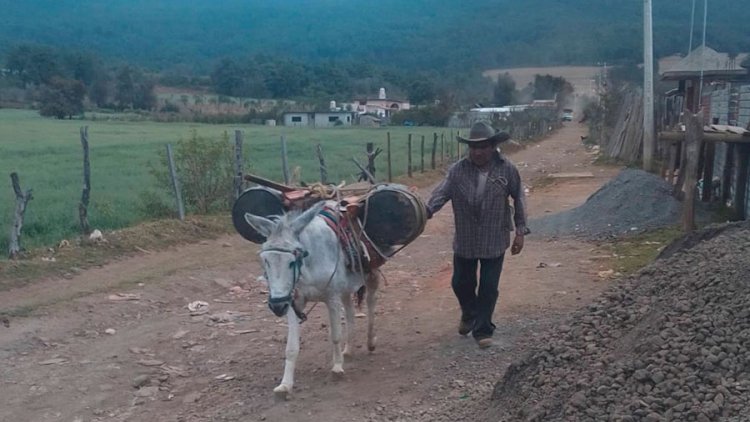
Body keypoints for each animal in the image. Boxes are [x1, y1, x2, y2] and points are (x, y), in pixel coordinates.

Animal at [244, 200, 380, 398]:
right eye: (265, 261)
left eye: (292, 261)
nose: (276, 306)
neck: (308, 266)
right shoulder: (293, 302)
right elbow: (291, 348)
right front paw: (285, 385)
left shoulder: (332, 297)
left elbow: (335, 335)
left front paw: (337, 368)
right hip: (345, 289)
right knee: (350, 312)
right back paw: (348, 349)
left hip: (370, 277)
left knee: (370, 304)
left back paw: (370, 341)